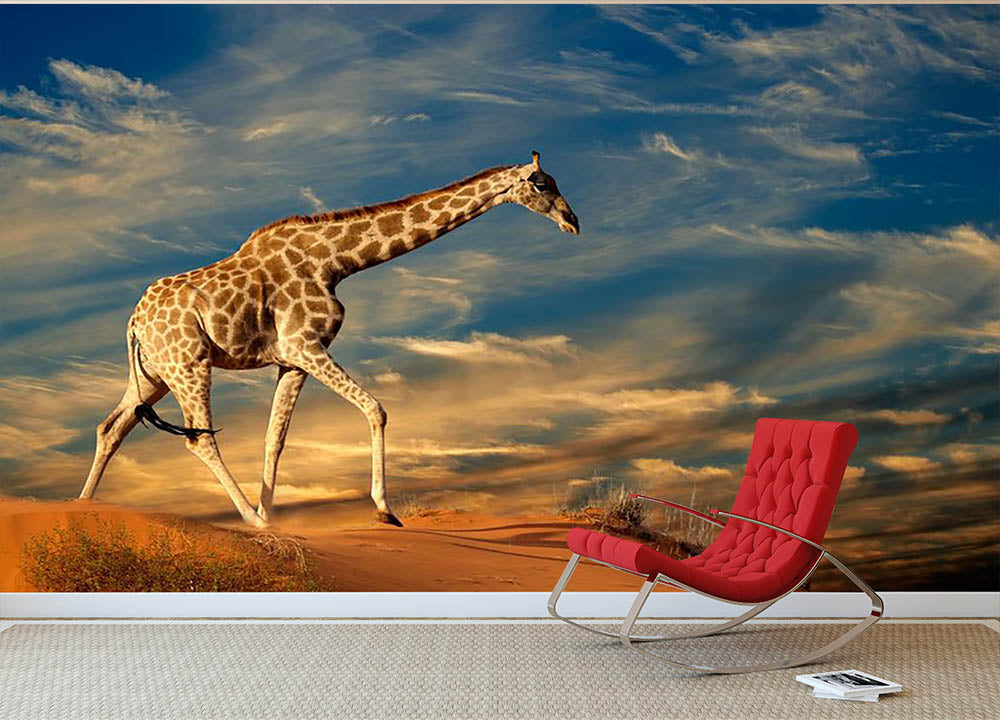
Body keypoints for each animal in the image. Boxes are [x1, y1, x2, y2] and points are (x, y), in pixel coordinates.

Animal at [78, 151, 579, 528]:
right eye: (541, 184)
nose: (573, 221)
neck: (337, 261)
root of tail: (133, 321)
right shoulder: (306, 344)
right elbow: (375, 408)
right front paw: (383, 511)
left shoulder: (291, 360)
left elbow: (274, 439)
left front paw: (272, 513)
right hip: (189, 363)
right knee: (197, 438)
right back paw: (249, 522)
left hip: (153, 373)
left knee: (111, 427)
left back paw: (83, 506)